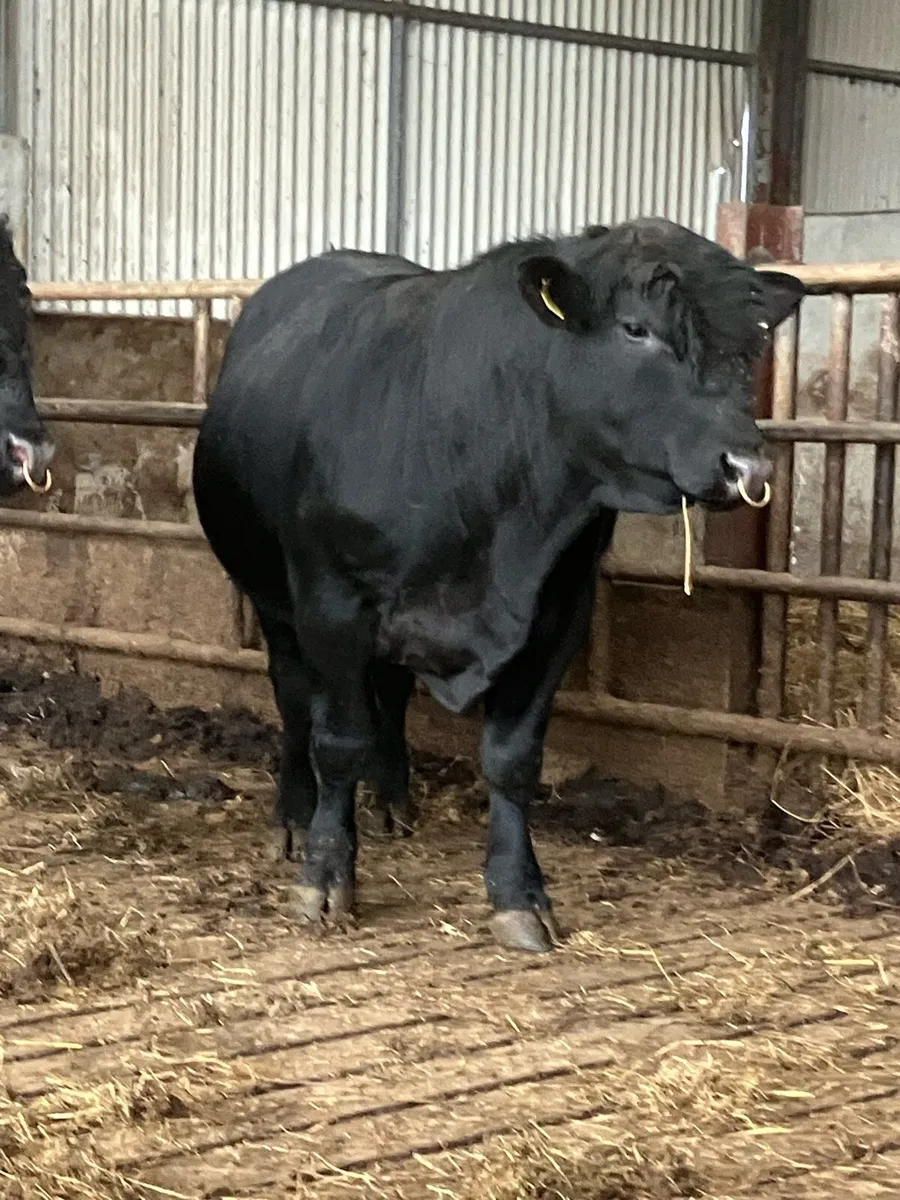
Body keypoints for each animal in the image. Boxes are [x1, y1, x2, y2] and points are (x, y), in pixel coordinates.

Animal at [192, 218, 805, 953]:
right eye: (635, 328)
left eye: (753, 345)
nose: (748, 465)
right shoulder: (332, 604)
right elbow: (337, 740)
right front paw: (326, 875)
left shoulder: (559, 609)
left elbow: (514, 759)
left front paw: (520, 896)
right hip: (275, 602)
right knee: (294, 701)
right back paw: (293, 815)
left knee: (389, 695)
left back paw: (394, 800)